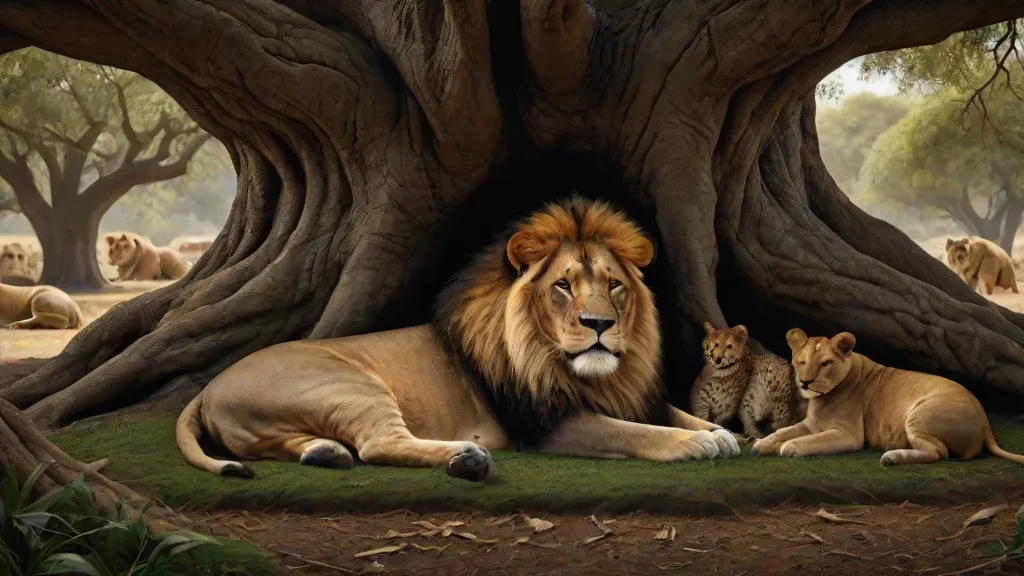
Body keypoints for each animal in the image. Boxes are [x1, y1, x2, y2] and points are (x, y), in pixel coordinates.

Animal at [176, 197, 740, 481]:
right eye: (562, 286)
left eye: (614, 284)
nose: (598, 324)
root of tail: (206, 390)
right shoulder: (547, 424)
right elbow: (635, 432)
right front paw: (695, 443)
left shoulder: (629, 395)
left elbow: (671, 412)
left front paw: (721, 432)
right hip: (350, 386)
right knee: (380, 444)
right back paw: (466, 458)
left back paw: (325, 452)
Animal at [751, 329, 1024, 466]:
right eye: (801, 361)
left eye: (825, 363)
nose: (805, 382)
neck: (823, 397)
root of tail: (985, 422)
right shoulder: (811, 423)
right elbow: (783, 431)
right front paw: (762, 443)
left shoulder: (849, 435)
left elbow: (812, 440)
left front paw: (790, 447)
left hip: (919, 416)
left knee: (940, 453)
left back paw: (892, 457)